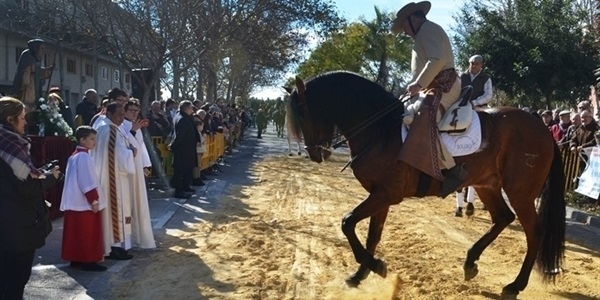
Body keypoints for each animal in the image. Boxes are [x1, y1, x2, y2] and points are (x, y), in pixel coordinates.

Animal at [286, 71, 568, 298]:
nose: (315, 153)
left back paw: (515, 285)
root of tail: (542, 128)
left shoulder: (386, 194)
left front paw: (375, 266)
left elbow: (347, 222)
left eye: (306, 114)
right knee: (503, 217)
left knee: (534, 232)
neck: (382, 129)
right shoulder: (380, 195)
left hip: (520, 192)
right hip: (488, 186)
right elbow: (371, 235)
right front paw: (360, 274)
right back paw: (470, 262)